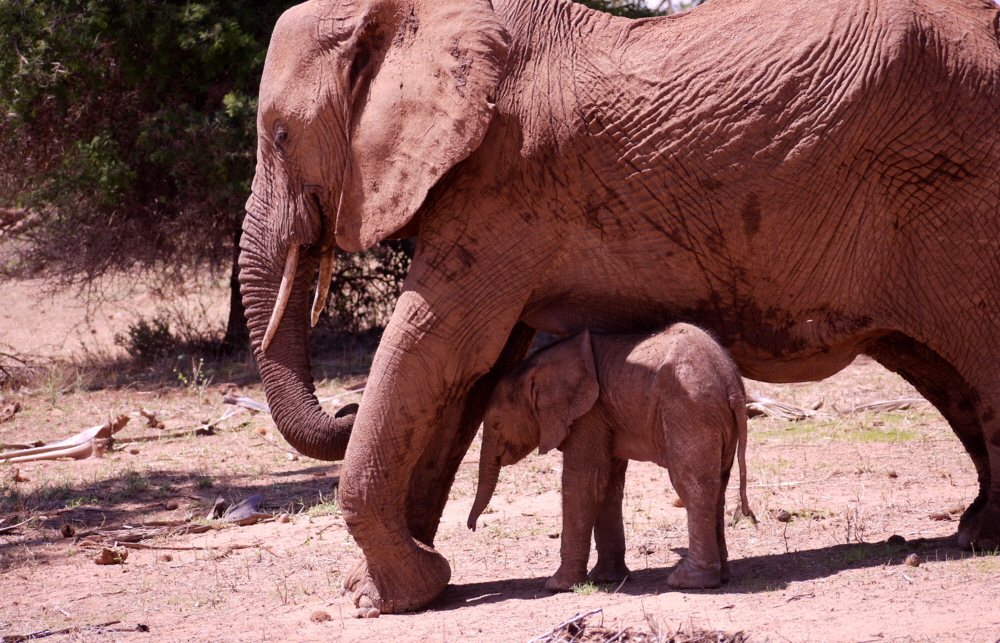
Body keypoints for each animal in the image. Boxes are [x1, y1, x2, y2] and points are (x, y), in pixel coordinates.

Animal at [468, 324, 752, 592]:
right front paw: (606, 580)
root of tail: (733, 385)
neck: (539, 365)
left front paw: (558, 586)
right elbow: (606, 485)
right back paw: (721, 577)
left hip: (690, 409)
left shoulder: (588, 413)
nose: (471, 527)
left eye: (495, 424)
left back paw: (688, 582)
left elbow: (584, 482)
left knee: (692, 485)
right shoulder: (604, 415)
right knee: (718, 485)